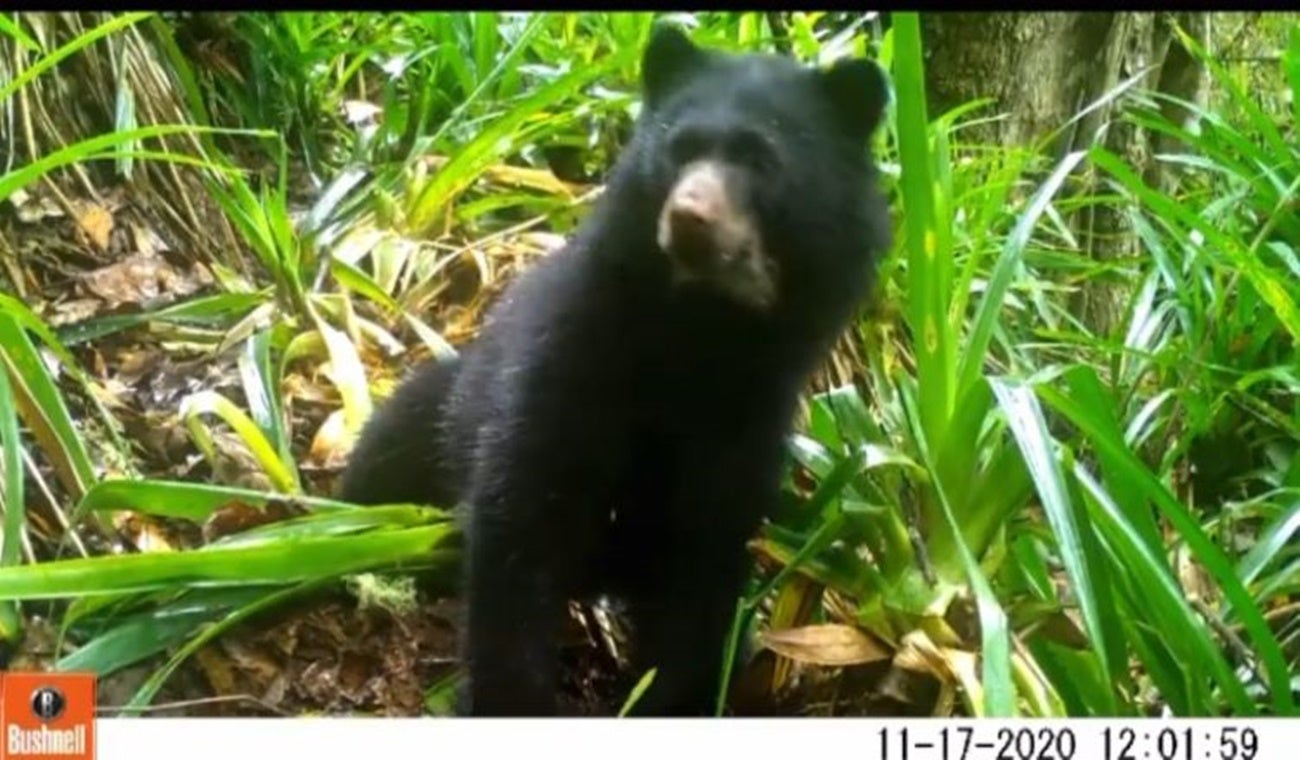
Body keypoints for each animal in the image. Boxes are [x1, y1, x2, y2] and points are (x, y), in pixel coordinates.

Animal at [338, 22, 892, 717]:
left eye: (763, 160)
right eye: (678, 148)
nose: (689, 218)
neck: (699, 330)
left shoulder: (748, 426)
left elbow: (702, 567)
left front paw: (674, 697)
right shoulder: (568, 364)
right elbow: (520, 523)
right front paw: (512, 699)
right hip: (440, 405)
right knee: (387, 452)